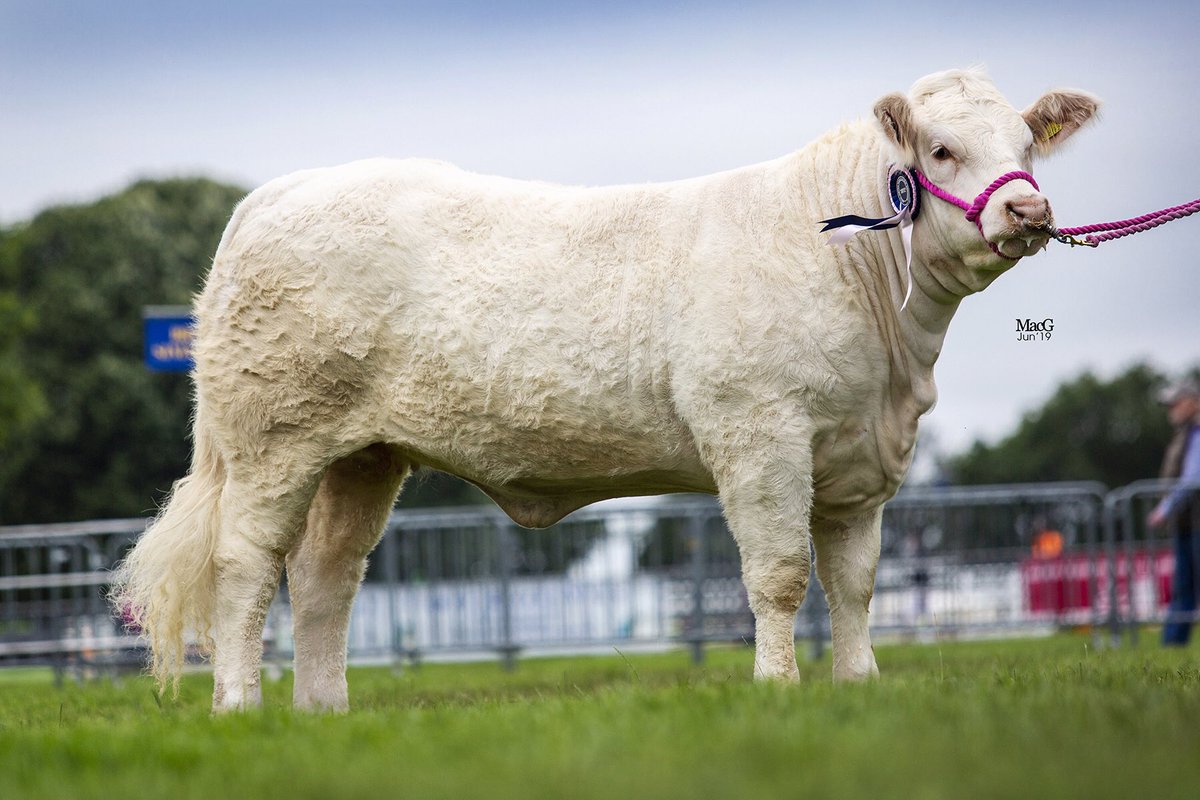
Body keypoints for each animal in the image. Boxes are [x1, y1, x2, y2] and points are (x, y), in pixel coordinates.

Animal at [113, 68, 1099, 711]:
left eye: (1026, 145)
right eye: (942, 147)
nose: (1028, 210)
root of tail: (280, 191)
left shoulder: (861, 458)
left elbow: (854, 585)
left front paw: (858, 685)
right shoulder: (761, 435)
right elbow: (781, 576)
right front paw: (777, 688)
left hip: (365, 453)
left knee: (325, 577)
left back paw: (326, 713)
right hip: (273, 439)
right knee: (247, 567)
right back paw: (240, 705)